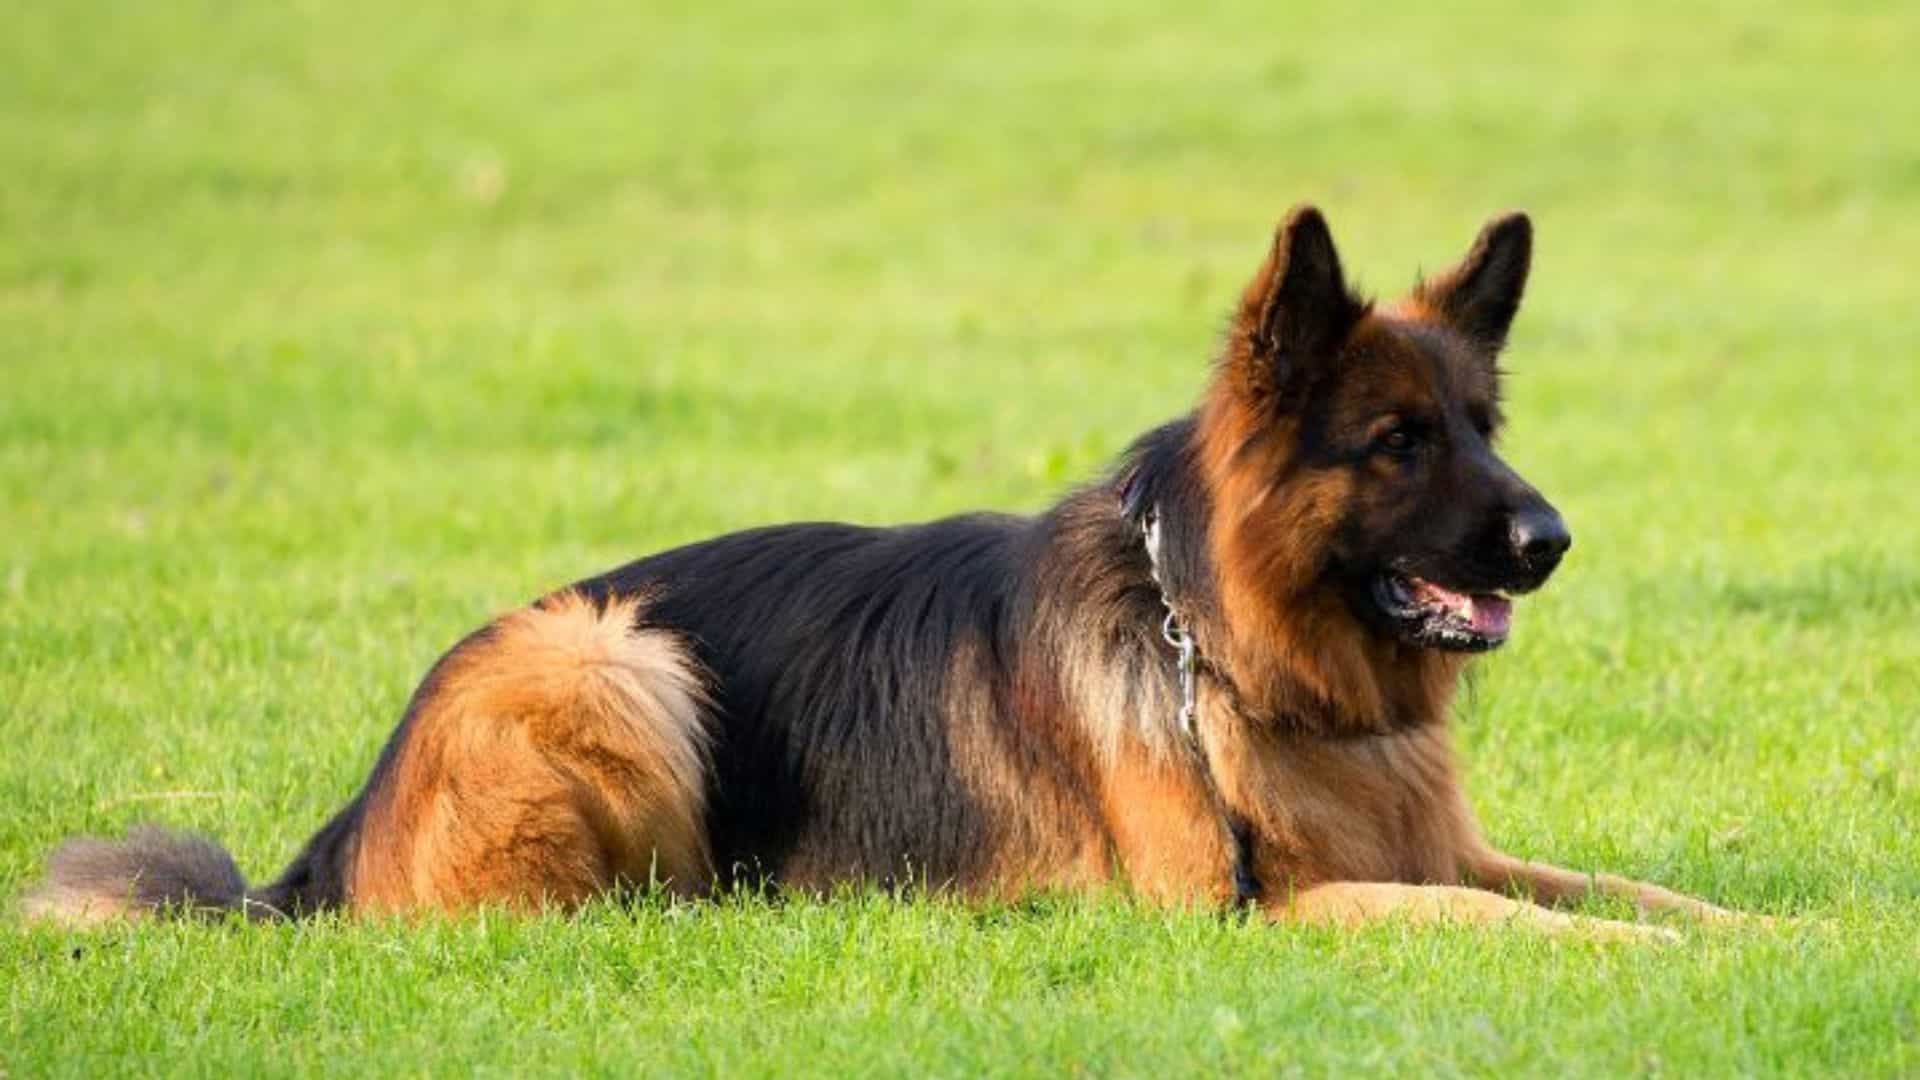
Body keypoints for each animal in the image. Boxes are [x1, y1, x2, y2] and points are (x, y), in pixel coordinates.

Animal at [26, 208, 1743, 933]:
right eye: (1395, 443)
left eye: (1482, 427)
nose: (1551, 540)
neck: (1223, 647)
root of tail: (321, 849)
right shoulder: (1276, 909)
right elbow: (1542, 928)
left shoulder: (1451, 852)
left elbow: (1640, 893)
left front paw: (1776, 944)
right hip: (611, 656)